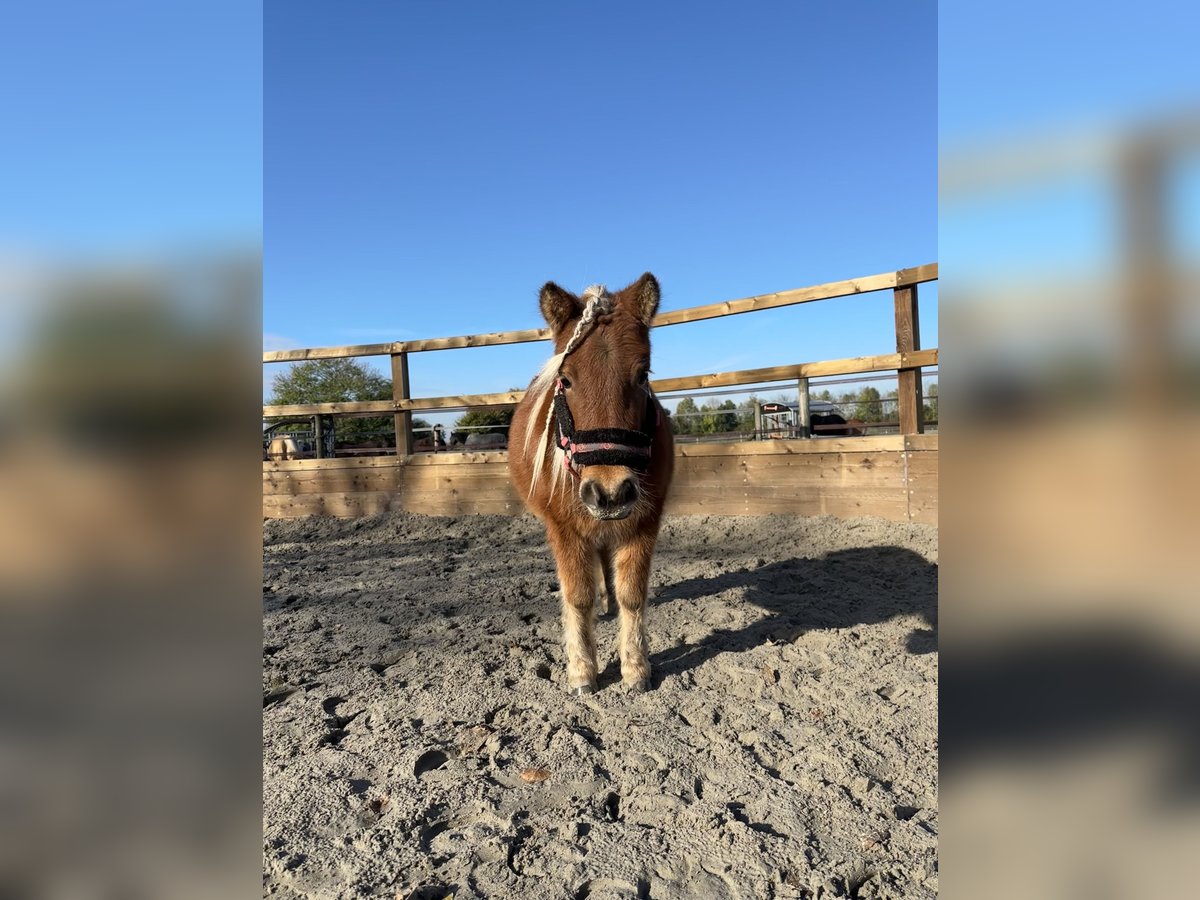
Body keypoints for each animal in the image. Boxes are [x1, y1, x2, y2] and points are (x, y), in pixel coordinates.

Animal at [506, 274, 676, 696]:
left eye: (643, 375)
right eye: (566, 379)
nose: (610, 492)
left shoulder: (644, 522)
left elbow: (632, 594)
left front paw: (635, 667)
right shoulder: (563, 528)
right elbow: (577, 597)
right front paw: (583, 670)